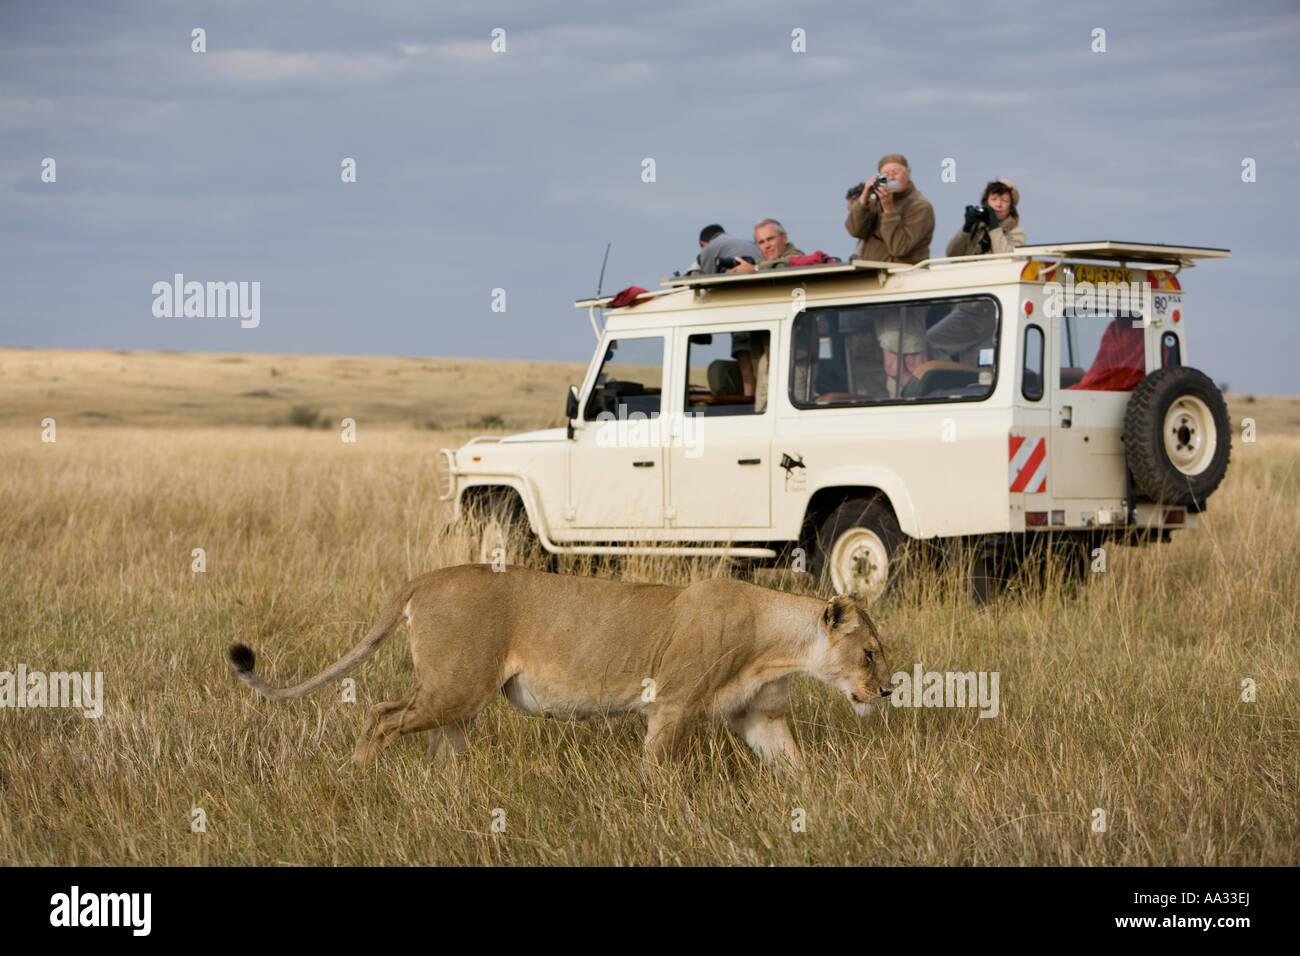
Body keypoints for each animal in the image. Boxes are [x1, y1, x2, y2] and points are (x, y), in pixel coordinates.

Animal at [227, 564, 894, 774]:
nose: (888, 690)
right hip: (453, 687)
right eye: (868, 653)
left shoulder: (760, 716)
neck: (778, 641)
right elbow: (658, 770)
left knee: (441, 746)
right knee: (379, 714)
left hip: (461, 697)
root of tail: (427, 577)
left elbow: (795, 766)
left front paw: (817, 806)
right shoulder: (674, 703)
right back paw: (357, 777)